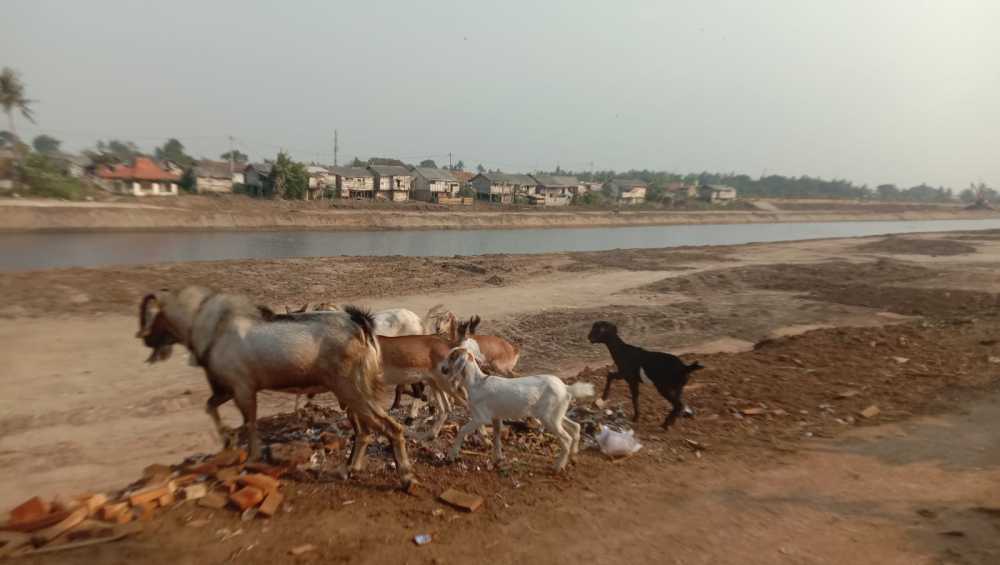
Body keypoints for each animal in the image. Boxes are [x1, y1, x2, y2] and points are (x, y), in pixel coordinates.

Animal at [135, 286, 416, 490]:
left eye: (154, 316)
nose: (145, 339)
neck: (213, 327)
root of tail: (361, 325)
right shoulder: (227, 388)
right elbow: (210, 405)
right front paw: (227, 437)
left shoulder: (243, 388)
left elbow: (249, 423)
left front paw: (249, 457)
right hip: (349, 392)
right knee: (364, 432)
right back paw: (348, 469)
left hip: (352, 389)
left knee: (391, 428)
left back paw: (406, 478)